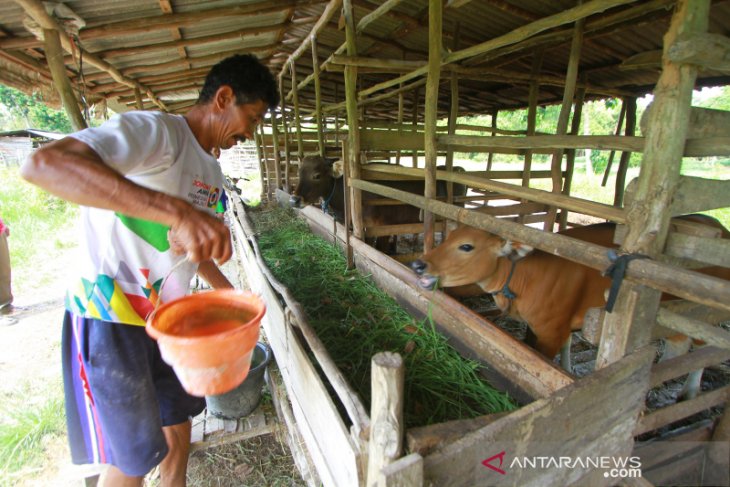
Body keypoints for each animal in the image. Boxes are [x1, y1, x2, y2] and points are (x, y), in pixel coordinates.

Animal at [290, 155, 466, 255]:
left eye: (316, 175)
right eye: (299, 172)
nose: (294, 200)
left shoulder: (383, 228)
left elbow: (379, 250)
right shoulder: (364, 228)